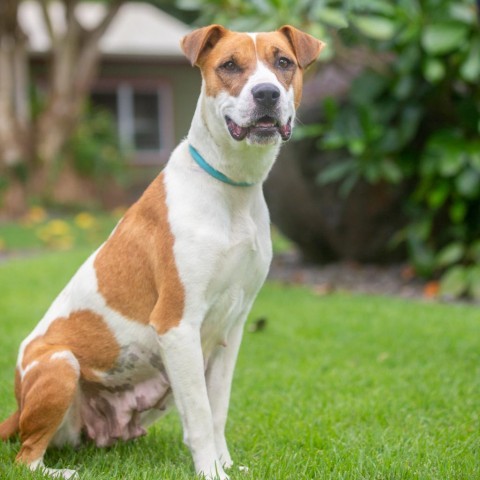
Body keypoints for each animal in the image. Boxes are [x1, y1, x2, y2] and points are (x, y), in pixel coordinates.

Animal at [0, 25, 324, 480]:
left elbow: (217, 409)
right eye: (229, 65)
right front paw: (210, 472)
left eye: (284, 63)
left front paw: (226, 464)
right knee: (26, 455)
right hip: (61, 365)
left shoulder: (232, 328)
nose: (266, 94)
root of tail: (17, 406)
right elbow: (201, 415)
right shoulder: (177, 326)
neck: (232, 187)